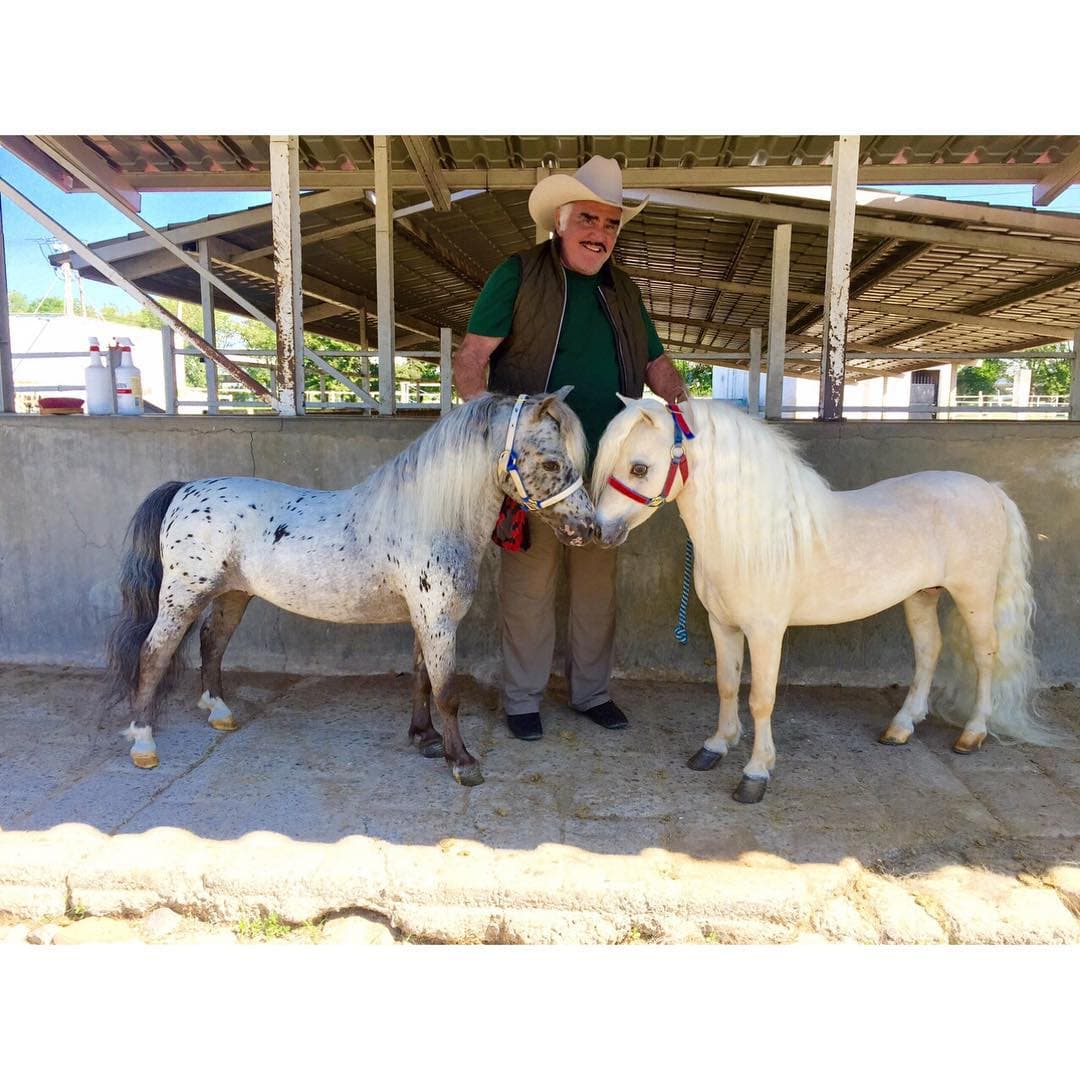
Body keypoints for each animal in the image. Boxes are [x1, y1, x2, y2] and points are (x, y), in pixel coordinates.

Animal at [105, 389, 594, 787]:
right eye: (551, 462)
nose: (588, 529)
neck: (425, 517)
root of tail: (184, 488)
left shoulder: (424, 621)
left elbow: (421, 680)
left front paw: (425, 738)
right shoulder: (438, 621)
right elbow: (447, 692)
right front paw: (462, 762)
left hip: (233, 594)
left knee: (212, 643)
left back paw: (219, 713)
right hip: (183, 596)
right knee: (154, 654)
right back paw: (144, 744)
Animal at [591, 394, 1066, 803]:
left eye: (638, 468)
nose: (600, 530)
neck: (756, 534)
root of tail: (992, 490)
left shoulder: (766, 632)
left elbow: (760, 698)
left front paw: (756, 772)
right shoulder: (722, 625)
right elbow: (726, 685)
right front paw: (716, 747)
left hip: (974, 594)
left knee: (986, 656)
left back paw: (973, 734)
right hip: (920, 596)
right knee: (929, 651)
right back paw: (901, 727)